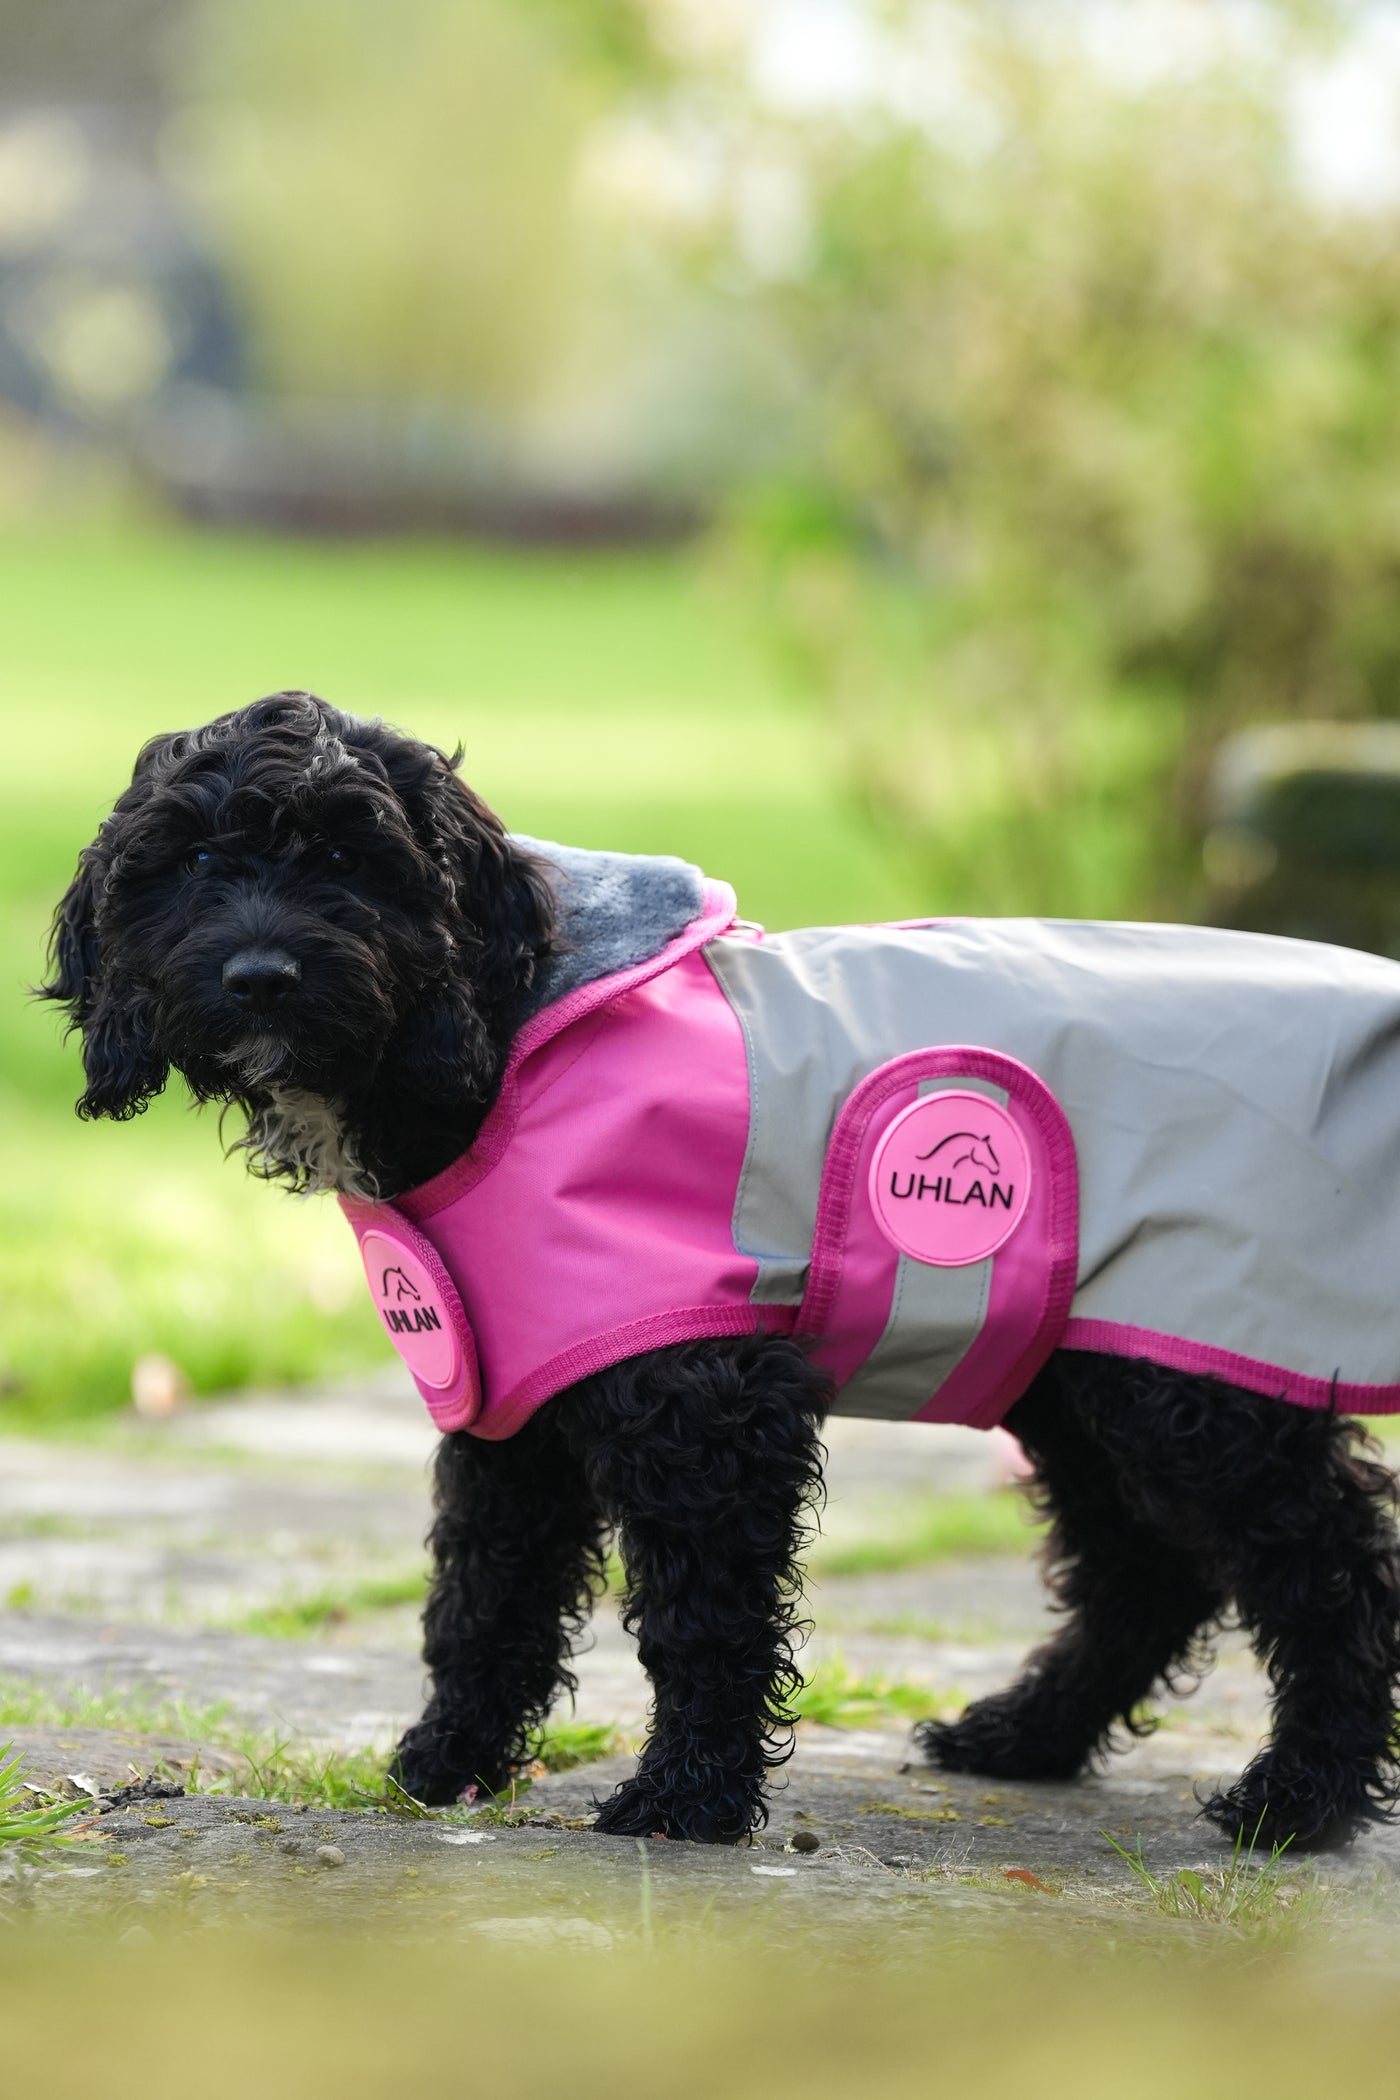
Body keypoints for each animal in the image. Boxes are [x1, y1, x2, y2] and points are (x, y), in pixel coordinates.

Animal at [43, 688, 1400, 1839]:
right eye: (194, 862)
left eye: (347, 859)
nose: (258, 975)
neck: (505, 1040)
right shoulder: (511, 1399)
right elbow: (484, 1597)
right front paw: (447, 1765)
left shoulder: (696, 1401)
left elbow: (703, 1614)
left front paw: (685, 1797)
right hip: (1078, 1367)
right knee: (1144, 1569)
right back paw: (1026, 1737)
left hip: (1195, 1378)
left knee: (1330, 1568)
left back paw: (1300, 1799)